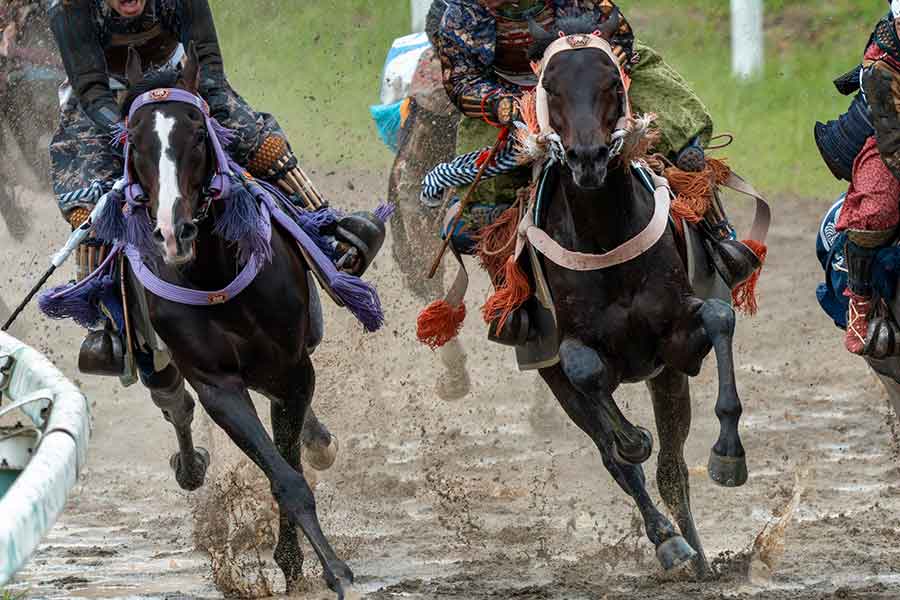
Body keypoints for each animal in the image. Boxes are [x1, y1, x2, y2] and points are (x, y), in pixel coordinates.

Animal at [118, 47, 352, 596]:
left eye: (198, 134)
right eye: (134, 141)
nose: (174, 232)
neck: (214, 273)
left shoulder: (291, 367)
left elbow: (288, 457)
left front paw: (313, 563)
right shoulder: (218, 384)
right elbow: (284, 476)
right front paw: (320, 566)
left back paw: (318, 440)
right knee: (173, 401)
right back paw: (189, 465)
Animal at [522, 14, 752, 575]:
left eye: (611, 82)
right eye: (550, 87)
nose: (587, 157)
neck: (605, 239)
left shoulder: (675, 346)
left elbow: (719, 316)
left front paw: (728, 454)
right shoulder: (571, 355)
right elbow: (591, 381)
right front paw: (631, 439)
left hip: (666, 379)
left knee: (671, 468)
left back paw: (698, 560)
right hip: (555, 382)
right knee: (619, 460)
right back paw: (668, 541)